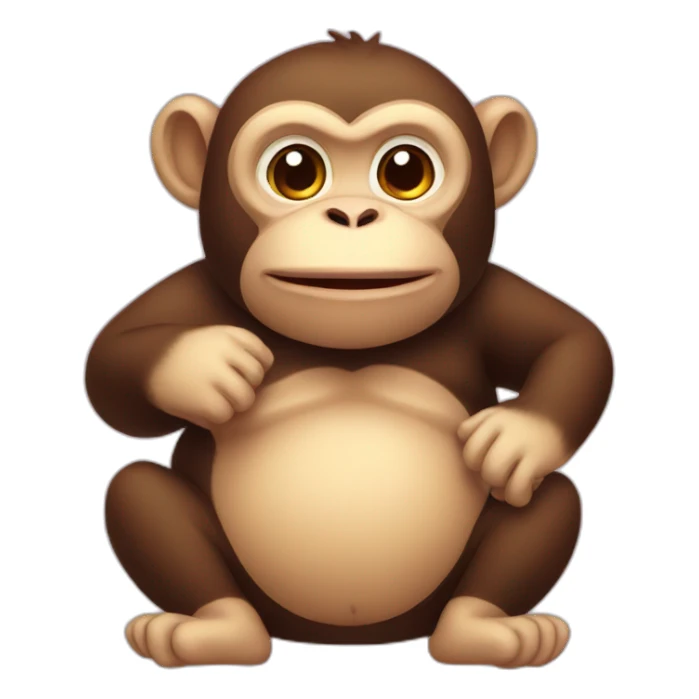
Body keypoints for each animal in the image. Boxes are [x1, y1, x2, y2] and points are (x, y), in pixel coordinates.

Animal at [91, 31, 613, 668]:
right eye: (295, 170)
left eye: (406, 170)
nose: (353, 214)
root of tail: (349, 638)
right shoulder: (196, 289)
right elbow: (109, 374)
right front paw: (204, 367)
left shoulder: (488, 298)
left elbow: (573, 341)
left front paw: (516, 435)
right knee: (137, 490)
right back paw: (213, 628)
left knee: (549, 498)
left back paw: (486, 627)